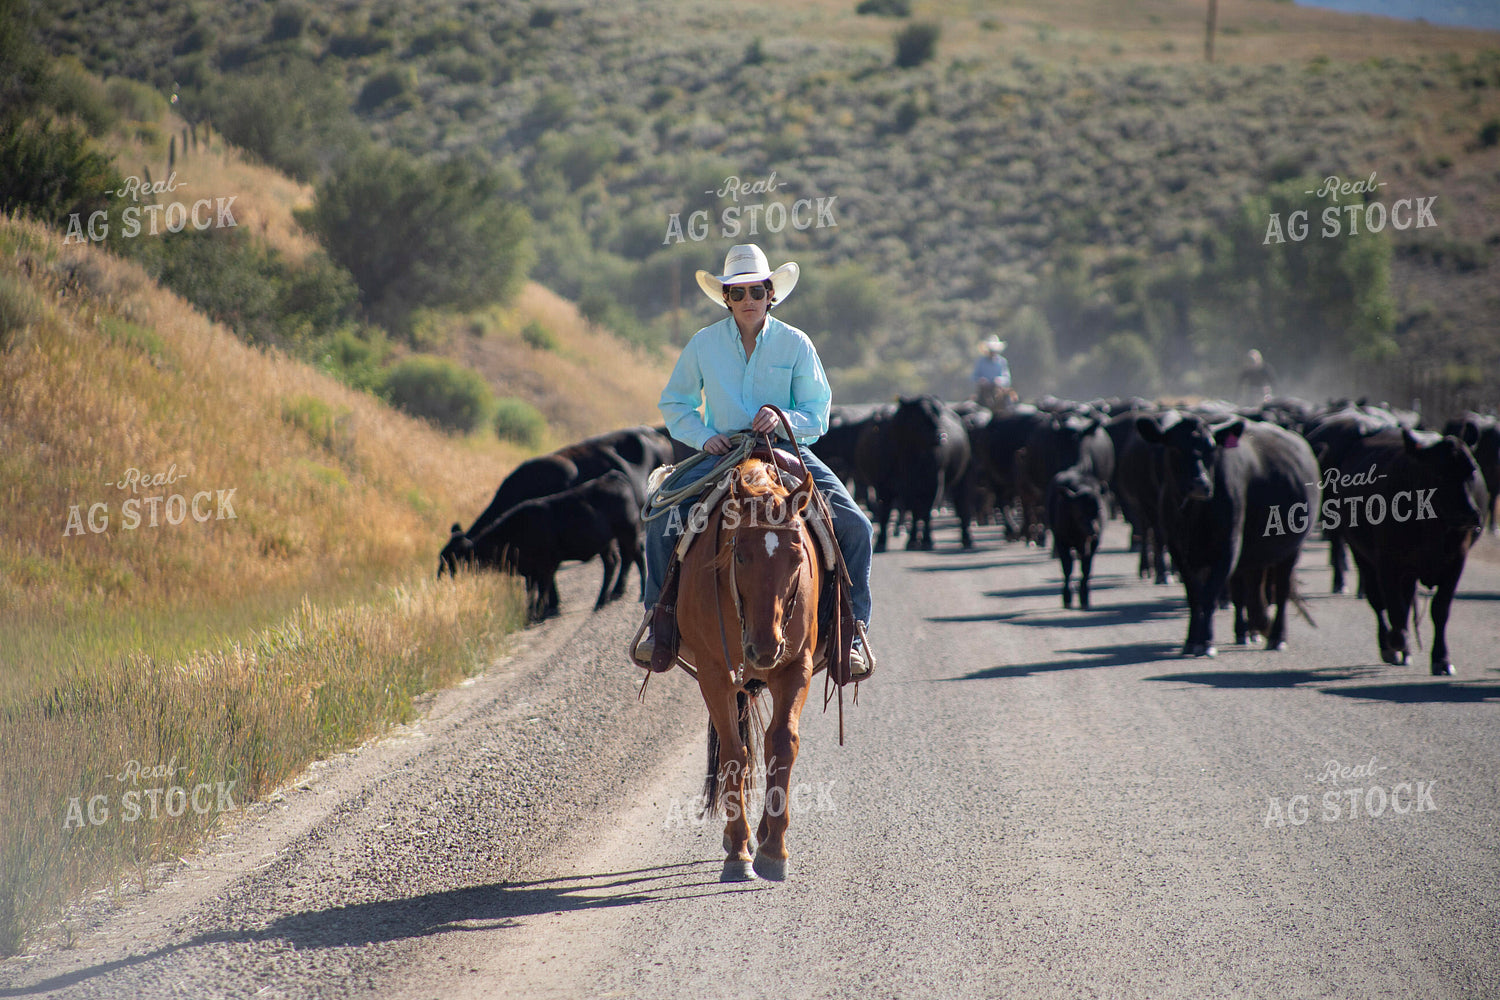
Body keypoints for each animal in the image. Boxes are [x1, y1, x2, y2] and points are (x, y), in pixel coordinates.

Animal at [447, 471, 644, 622]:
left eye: (456, 556)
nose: (449, 577)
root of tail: (613, 476)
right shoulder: (529, 571)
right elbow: (532, 593)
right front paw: (532, 615)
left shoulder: (546, 566)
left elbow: (543, 590)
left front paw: (541, 614)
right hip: (607, 543)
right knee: (613, 562)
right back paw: (602, 599)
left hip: (628, 533)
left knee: (636, 556)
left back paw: (635, 593)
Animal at [887, 395, 973, 551]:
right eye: (921, 415)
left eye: (938, 414)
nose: (941, 436)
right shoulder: (903, 483)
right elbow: (913, 510)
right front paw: (912, 540)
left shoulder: (935, 481)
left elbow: (926, 510)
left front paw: (927, 540)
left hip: (963, 477)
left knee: (963, 505)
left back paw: (967, 539)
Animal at [1046, 469, 1107, 609]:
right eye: (1080, 514)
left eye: (1099, 510)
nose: (1093, 531)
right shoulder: (1061, 543)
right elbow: (1067, 568)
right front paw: (1067, 597)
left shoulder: (1093, 545)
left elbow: (1086, 569)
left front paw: (1084, 597)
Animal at [1136, 414, 1319, 657]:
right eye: (1174, 447)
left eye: (1212, 449)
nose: (1200, 484)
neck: (1193, 516)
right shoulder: (1178, 550)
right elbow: (1194, 596)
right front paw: (1191, 640)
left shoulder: (1228, 547)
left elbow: (1210, 594)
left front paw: (1206, 641)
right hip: (1254, 555)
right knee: (1250, 592)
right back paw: (1250, 630)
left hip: (1290, 550)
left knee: (1280, 591)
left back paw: (1277, 637)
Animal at [1337, 428, 1488, 675]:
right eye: (1439, 474)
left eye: (1472, 471)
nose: (1471, 514)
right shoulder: (1386, 563)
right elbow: (1393, 606)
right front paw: (1397, 641)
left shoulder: (1457, 561)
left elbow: (1440, 609)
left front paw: (1441, 659)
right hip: (1363, 558)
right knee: (1379, 602)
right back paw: (1391, 646)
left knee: (1406, 601)